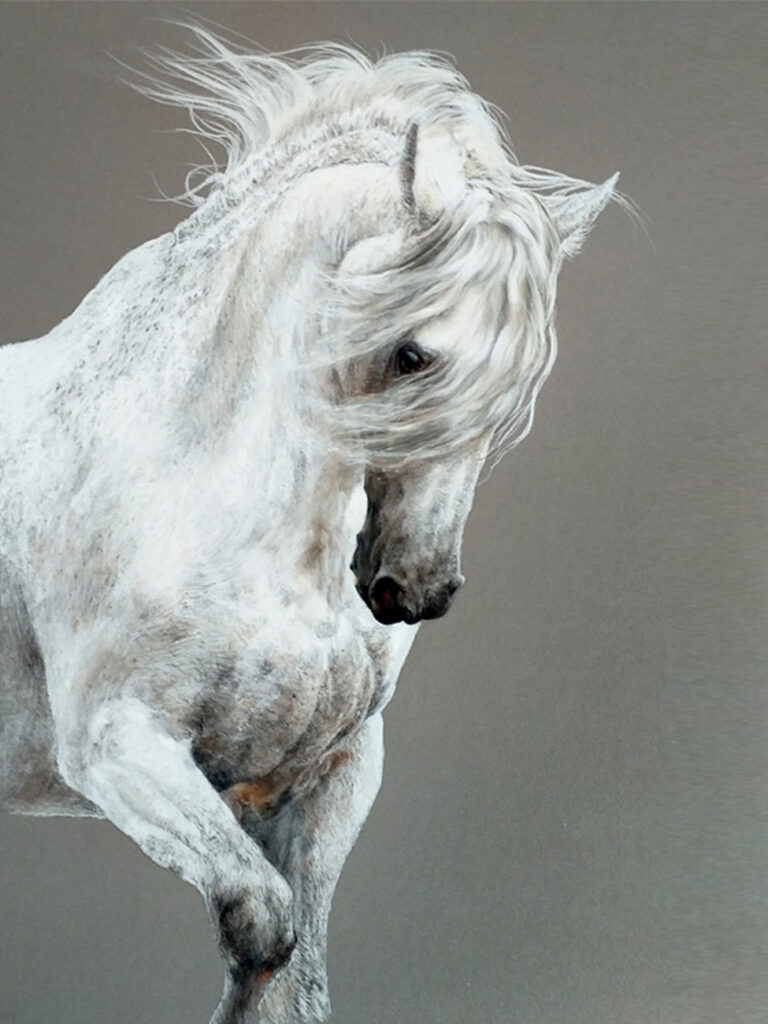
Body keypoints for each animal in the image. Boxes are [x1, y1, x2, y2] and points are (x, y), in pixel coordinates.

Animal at [0, 27, 621, 1024]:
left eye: (519, 382)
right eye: (412, 354)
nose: (416, 589)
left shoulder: (327, 772)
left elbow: (298, 978)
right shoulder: (121, 745)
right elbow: (264, 931)